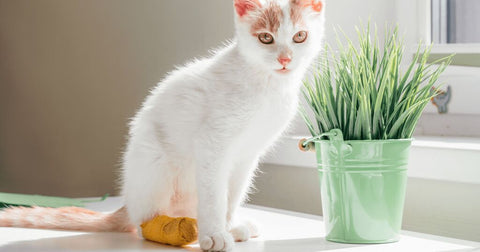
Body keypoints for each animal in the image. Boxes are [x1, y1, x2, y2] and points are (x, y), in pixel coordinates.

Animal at [0, 0, 326, 251]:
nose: (285, 59)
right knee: (142, 223)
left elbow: (231, 196)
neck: (266, 85)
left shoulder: (247, 155)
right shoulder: (212, 144)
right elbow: (214, 195)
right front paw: (213, 234)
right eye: (266, 38)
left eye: (300, 36)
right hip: (155, 161)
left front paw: (227, 225)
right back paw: (173, 228)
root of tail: (127, 201)